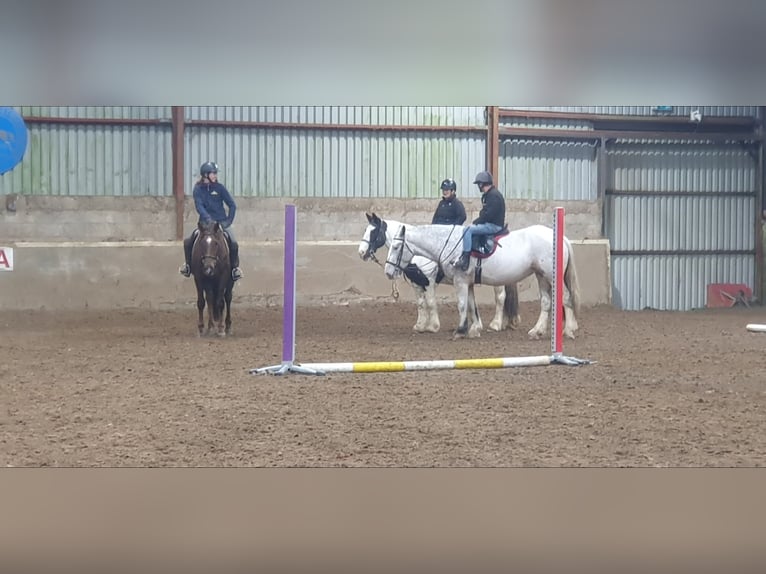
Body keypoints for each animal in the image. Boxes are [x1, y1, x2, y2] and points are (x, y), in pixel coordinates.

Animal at [384, 224, 584, 342]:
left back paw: (568, 330)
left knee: (565, 299)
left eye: (396, 247)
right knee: (546, 303)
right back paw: (537, 331)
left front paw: (459, 330)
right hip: (541, 276)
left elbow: (460, 305)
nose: (388, 272)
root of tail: (560, 237)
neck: (448, 244)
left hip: (550, 276)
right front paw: (474, 329)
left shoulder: (458, 281)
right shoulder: (468, 283)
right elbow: (472, 306)